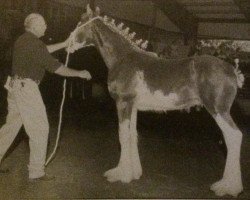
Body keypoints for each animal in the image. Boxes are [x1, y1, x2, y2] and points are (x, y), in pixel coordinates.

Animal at [73, 5, 245, 198]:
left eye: (80, 21)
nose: (69, 45)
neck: (122, 57)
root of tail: (232, 70)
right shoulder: (132, 106)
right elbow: (133, 135)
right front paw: (134, 173)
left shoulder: (123, 103)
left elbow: (122, 136)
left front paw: (120, 174)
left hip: (218, 110)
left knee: (233, 137)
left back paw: (228, 187)